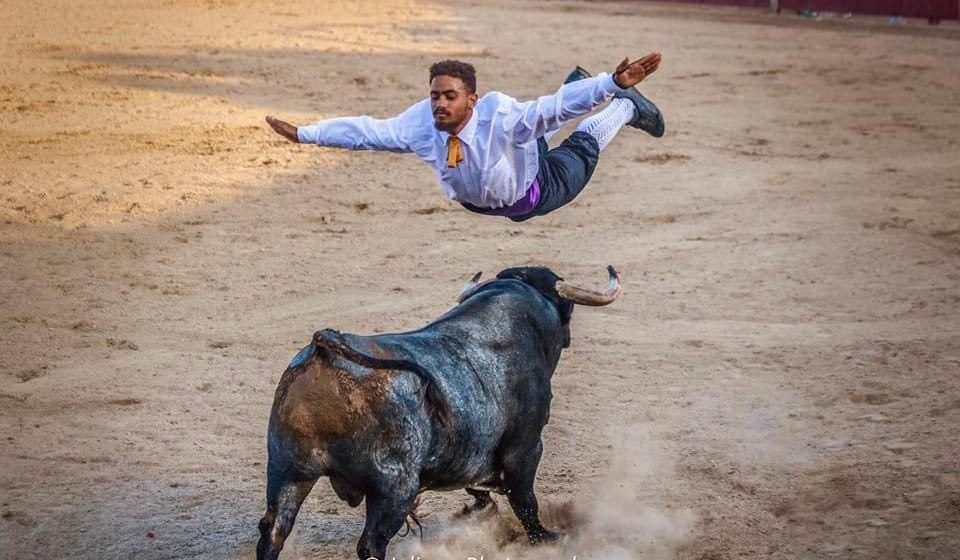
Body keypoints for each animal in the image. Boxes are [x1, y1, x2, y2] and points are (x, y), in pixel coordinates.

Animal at [256, 264, 624, 556]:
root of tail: (326, 347)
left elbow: (481, 487)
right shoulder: (526, 446)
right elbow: (525, 501)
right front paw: (546, 538)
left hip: (288, 471)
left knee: (273, 532)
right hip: (394, 488)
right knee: (371, 543)